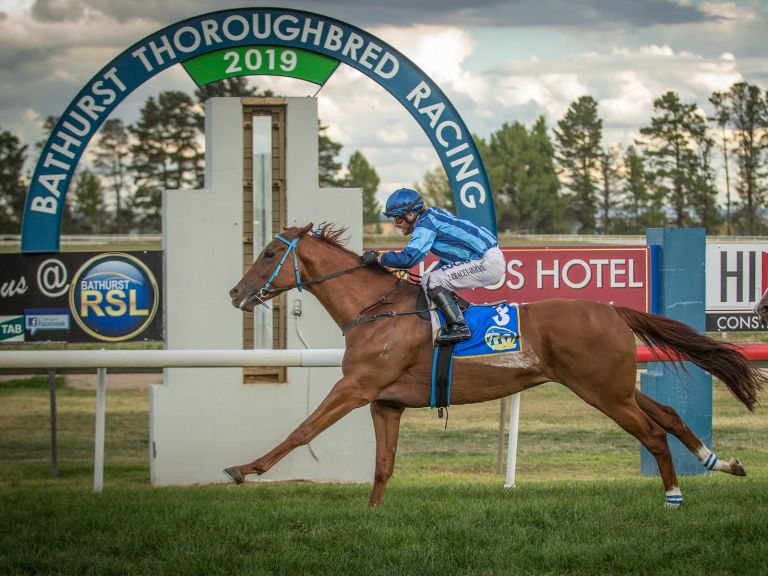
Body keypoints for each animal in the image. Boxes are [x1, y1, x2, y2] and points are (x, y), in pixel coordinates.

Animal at [222, 223, 760, 506]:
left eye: (268, 252)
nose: (236, 293)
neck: (377, 311)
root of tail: (612, 310)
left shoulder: (356, 388)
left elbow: (302, 430)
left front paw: (244, 469)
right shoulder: (385, 403)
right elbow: (382, 465)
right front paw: (373, 515)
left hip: (602, 392)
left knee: (652, 433)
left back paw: (674, 496)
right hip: (617, 386)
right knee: (668, 415)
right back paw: (722, 463)